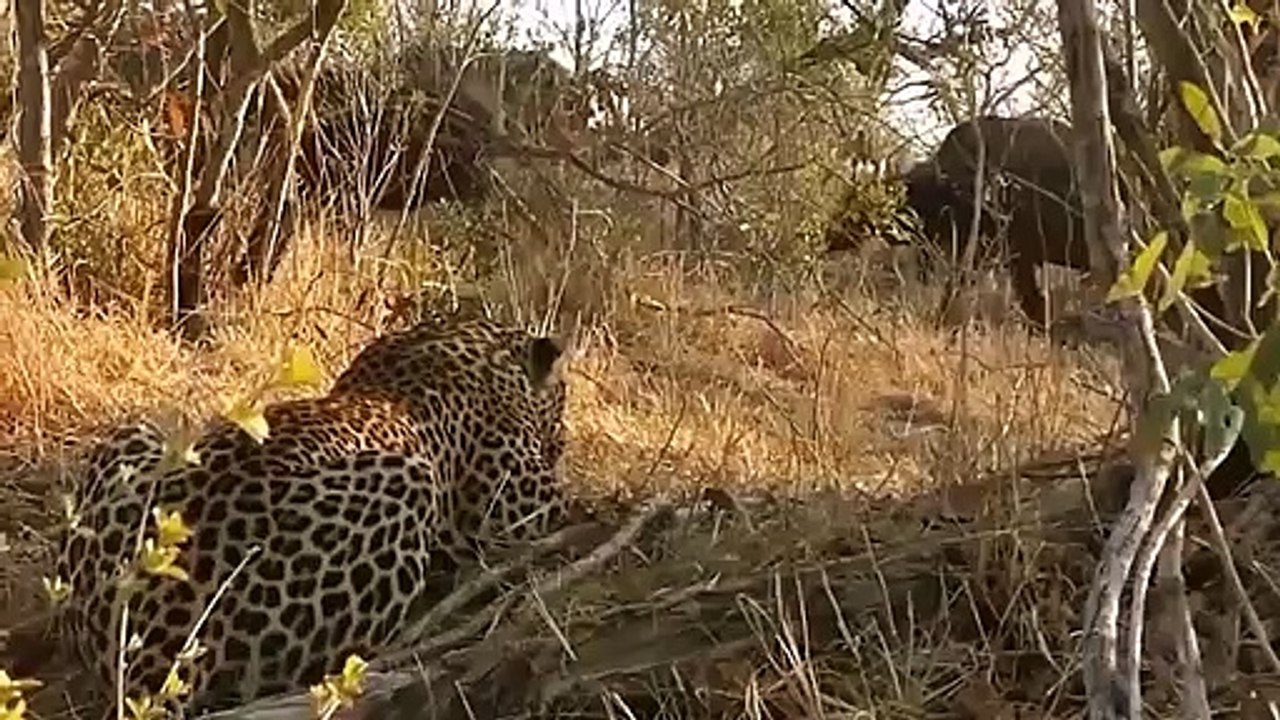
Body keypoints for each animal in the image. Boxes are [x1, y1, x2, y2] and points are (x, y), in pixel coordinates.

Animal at [50, 312, 575, 715]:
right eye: (564, 400)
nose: (564, 439)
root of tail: (162, 636)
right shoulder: (517, 500)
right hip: (407, 482)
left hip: (136, 437)